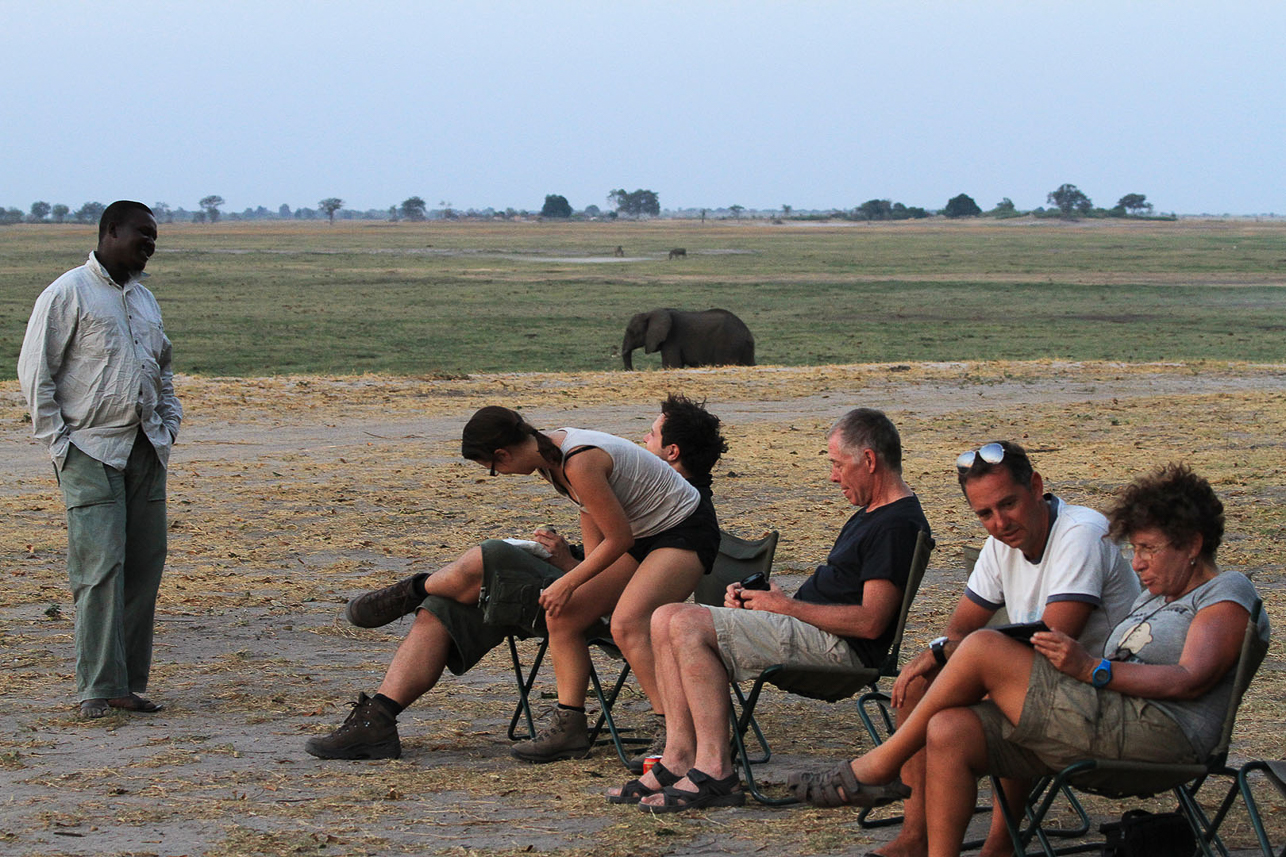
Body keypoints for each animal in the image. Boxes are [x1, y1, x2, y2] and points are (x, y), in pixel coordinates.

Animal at [622, 307, 751, 368]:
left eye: (630, 331)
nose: (632, 369)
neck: (651, 313)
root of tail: (747, 332)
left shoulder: (672, 339)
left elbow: (672, 365)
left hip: (729, 343)